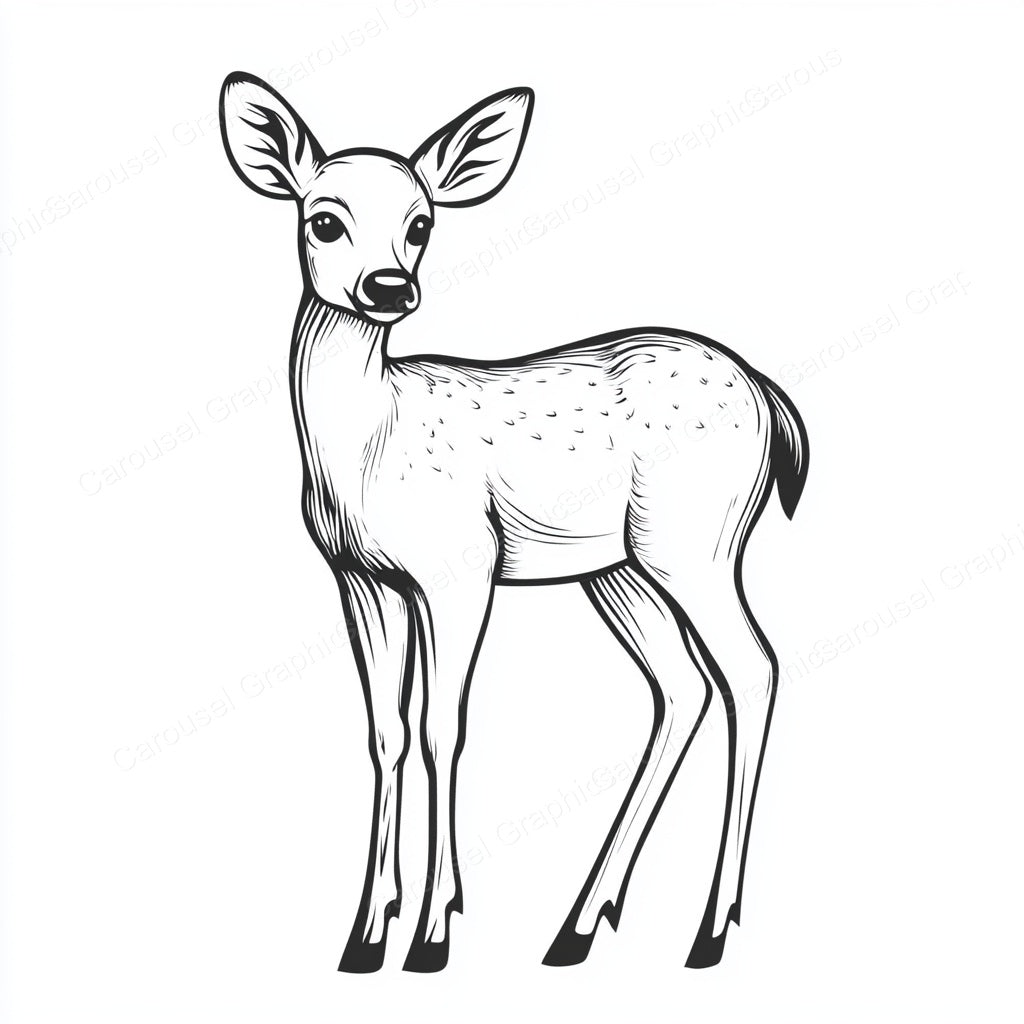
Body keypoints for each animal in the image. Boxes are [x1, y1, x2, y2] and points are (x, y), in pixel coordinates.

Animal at [219, 72, 809, 973]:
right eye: (323, 218)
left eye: (421, 223)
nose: (389, 286)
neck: (366, 450)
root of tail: (768, 396)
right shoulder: (362, 579)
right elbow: (386, 731)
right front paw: (366, 934)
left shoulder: (459, 565)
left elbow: (443, 727)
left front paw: (433, 933)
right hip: (619, 569)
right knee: (681, 685)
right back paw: (578, 926)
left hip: (692, 542)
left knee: (752, 668)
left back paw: (708, 931)